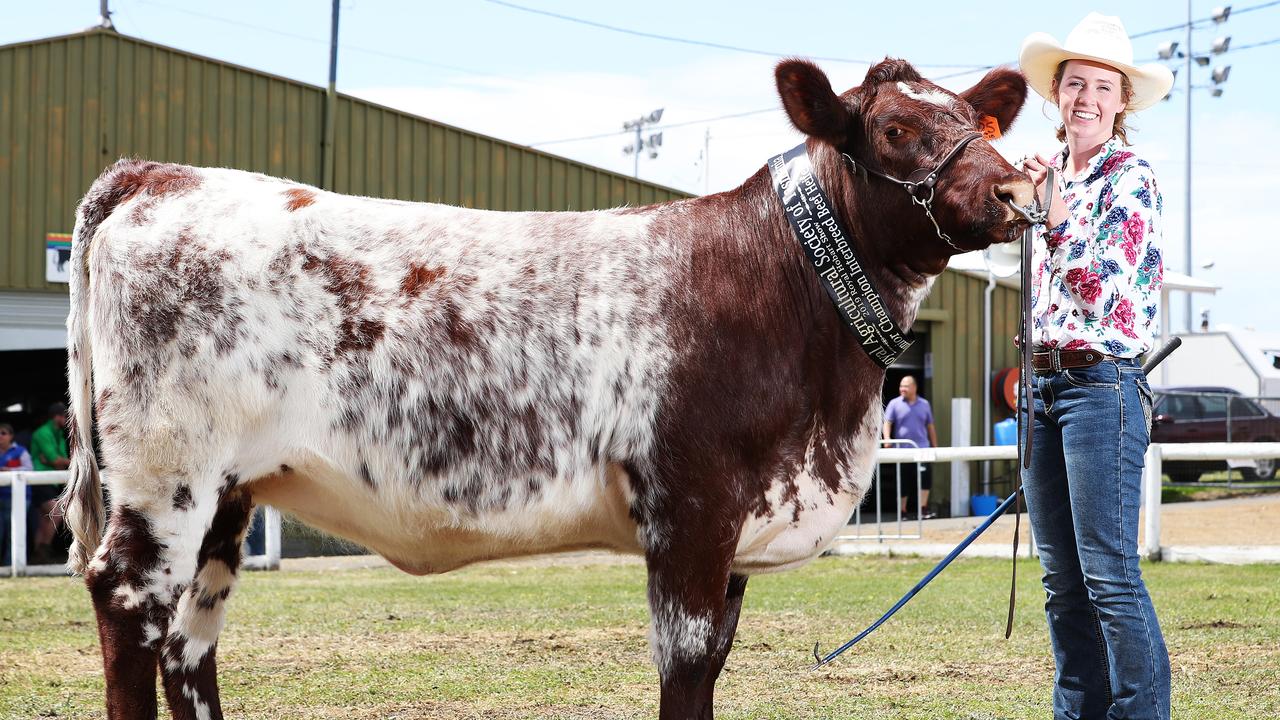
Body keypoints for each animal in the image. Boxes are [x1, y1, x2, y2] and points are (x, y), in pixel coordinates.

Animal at [60, 58, 1034, 712]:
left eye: (977, 123)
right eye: (897, 131)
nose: (1018, 190)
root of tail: (159, 176)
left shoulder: (732, 541)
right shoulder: (691, 514)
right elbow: (686, 673)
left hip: (228, 497)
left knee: (189, 644)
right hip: (167, 477)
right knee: (129, 606)